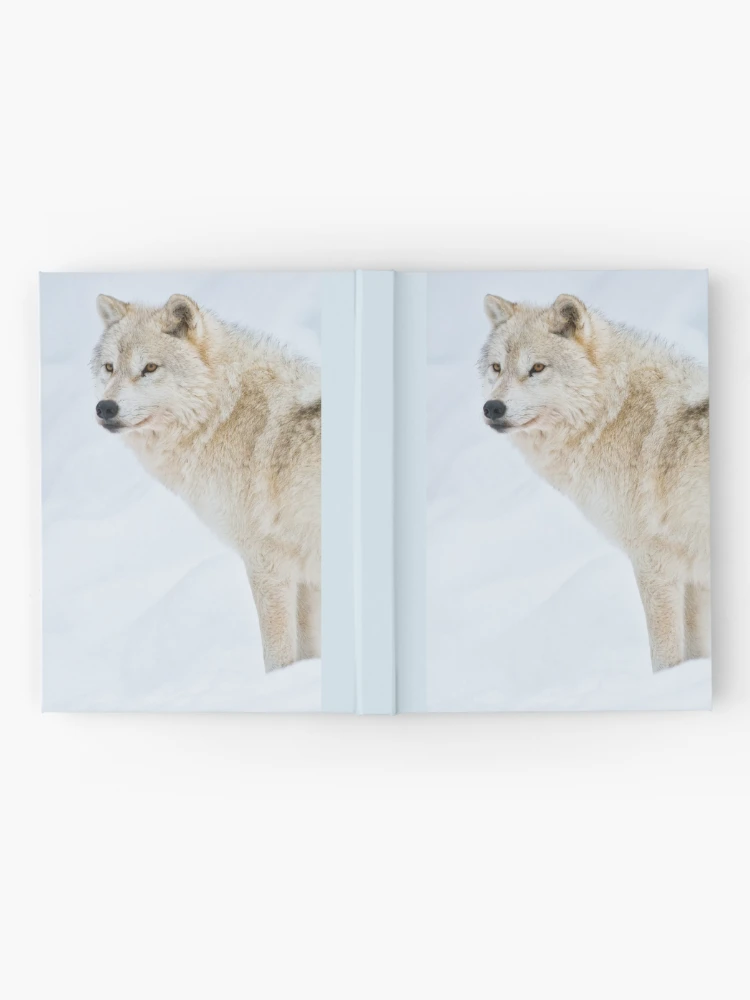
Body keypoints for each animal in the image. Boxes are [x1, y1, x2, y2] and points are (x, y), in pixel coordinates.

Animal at [91, 293, 321, 671]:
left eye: (149, 368)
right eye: (110, 368)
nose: (105, 407)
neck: (225, 412)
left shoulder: (267, 564)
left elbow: (278, 657)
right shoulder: (305, 575)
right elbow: (308, 653)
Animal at [479, 292, 710, 671]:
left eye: (537, 368)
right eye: (497, 368)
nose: (492, 407)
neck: (612, 413)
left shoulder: (654, 563)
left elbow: (665, 657)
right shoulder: (693, 575)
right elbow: (695, 654)